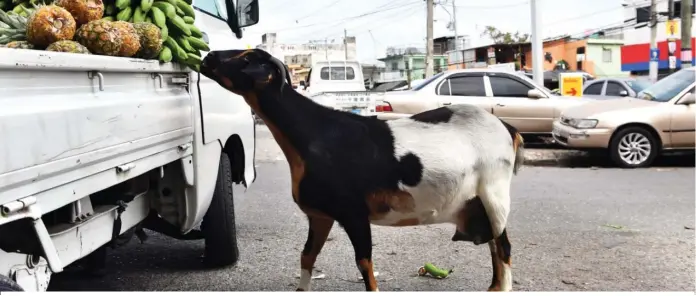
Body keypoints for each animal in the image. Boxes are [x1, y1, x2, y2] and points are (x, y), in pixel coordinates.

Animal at [198, 48, 524, 292]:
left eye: (246, 59)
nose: (208, 56)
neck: (314, 134)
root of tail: (508, 129)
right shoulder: (321, 215)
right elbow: (307, 256)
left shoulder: (354, 213)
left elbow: (364, 264)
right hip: (476, 203)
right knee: (494, 245)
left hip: (494, 191)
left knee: (504, 246)